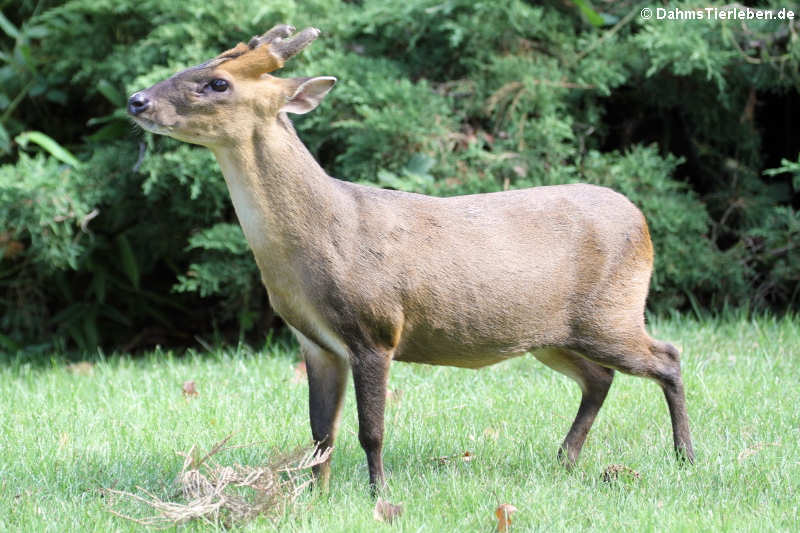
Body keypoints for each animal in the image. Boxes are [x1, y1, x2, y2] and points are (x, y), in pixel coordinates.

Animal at [130, 25, 692, 490]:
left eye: (217, 82)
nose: (137, 100)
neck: (322, 236)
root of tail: (640, 220)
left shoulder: (376, 328)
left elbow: (370, 431)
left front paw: (378, 496)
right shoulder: (315, 342)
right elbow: (319, 435)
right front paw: (314, 498)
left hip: (610, 312)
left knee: (667, 356)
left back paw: (685, 456)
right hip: (548, 333)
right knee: (601, 377)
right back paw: (566, 459)